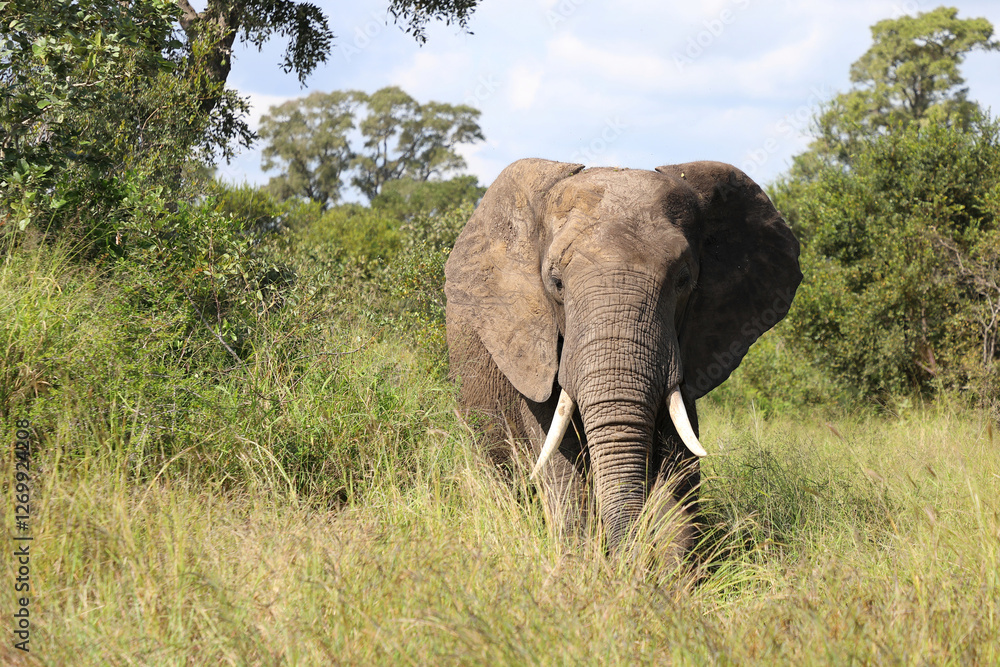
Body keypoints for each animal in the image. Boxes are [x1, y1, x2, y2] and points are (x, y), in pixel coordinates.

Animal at [444, 158, 801, 556]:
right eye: (556, 283)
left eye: (683, 280)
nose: (622, 556)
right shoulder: (530, 351)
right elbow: (560, 462)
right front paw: (584, 561)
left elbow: (678, 466)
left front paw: (665, 568)